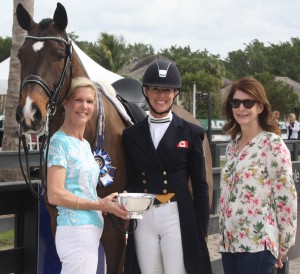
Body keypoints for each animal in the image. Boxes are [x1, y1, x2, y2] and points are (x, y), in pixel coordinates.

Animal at [15, 2, 213, 274]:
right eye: (21, 56)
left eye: (58, 55)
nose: (29, 113)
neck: (88, 130)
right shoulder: (58, 217)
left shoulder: (116, 227)